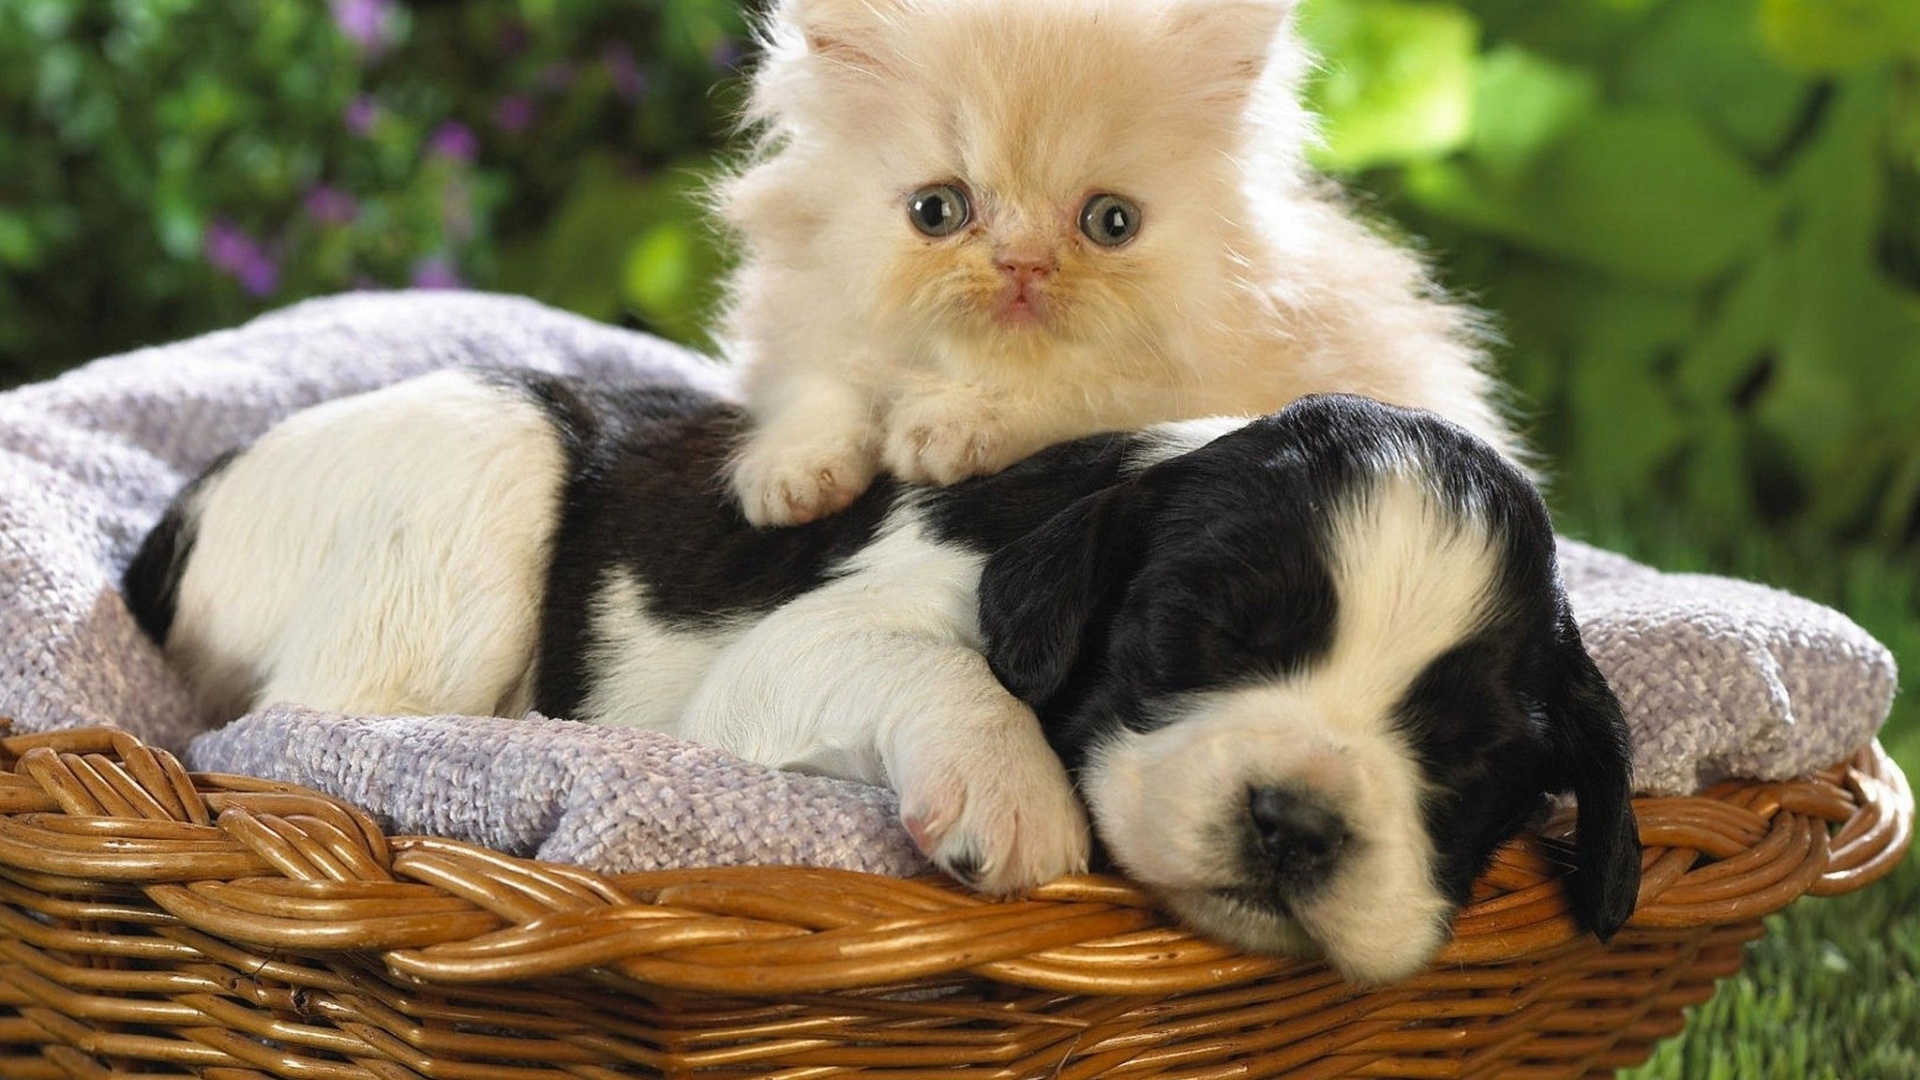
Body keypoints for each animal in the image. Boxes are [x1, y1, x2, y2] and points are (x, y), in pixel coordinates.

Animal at [127, 372, 1643, 983]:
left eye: (1464, 753)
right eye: (1201, 641)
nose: (1295, 823)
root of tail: (179, 512)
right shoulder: (801, 652)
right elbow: (934, 667)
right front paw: (1013, 794)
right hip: (472, 474)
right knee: (303, 722)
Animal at [721, 0, 1512, 526]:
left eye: (1111, 223)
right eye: (936, 211)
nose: (1023, 264)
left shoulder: (1192, 391)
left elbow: (1076, 391)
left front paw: (949, 427)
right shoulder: (803, 320)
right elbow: (818, 385)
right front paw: (791, 474)